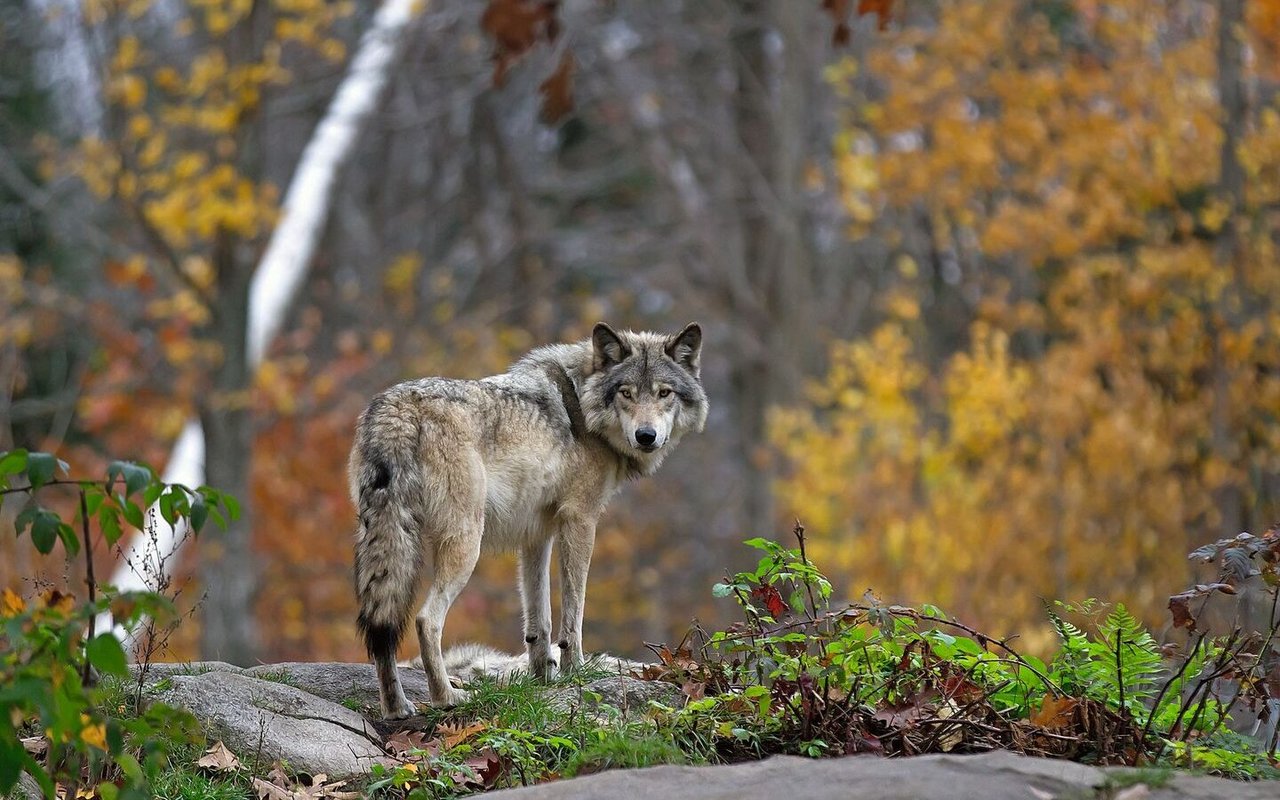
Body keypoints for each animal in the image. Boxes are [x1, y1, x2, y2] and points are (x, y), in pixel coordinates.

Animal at [353, 321, 711, 716]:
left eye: (664, 393)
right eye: (626, 393)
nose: (646, 436)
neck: (582, 406)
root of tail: (398, 408)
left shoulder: (536, 535)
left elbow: (539, 618)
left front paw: (543, 678)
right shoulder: (581, 520)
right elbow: (573, 612)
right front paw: (575, 671)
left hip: (387, 542)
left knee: (381, 625)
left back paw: (397, 707)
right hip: (465, 545)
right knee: (425, 619)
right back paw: (446, 697)